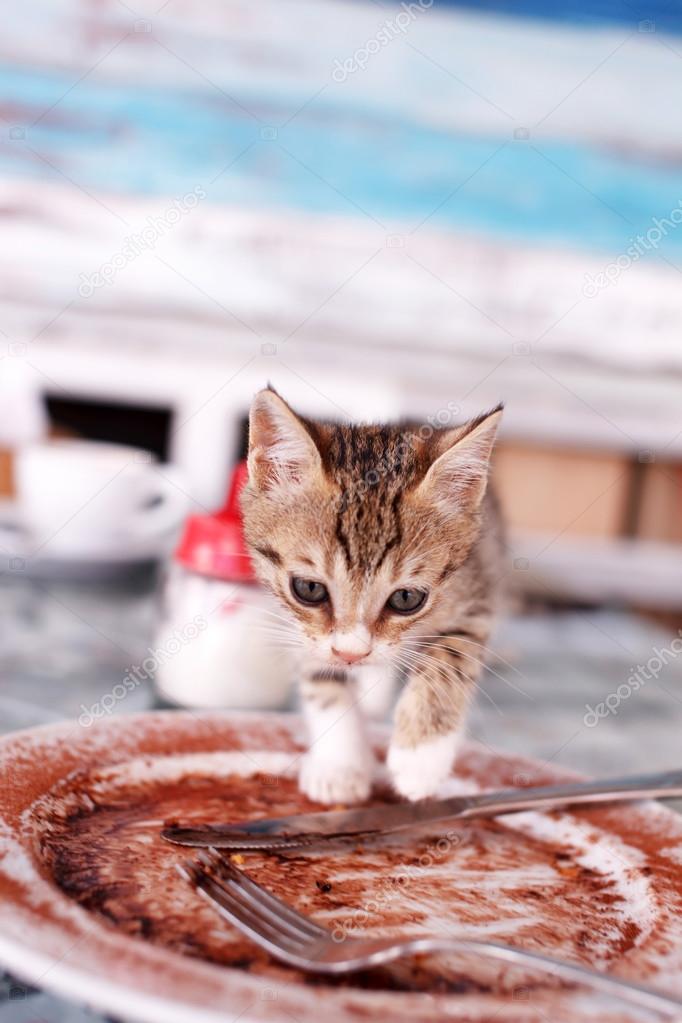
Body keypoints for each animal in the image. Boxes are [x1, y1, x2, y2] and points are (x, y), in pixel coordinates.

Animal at [242, 386, 505, 802]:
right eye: (309, 589)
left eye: (406, 599)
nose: (352, 654)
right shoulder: (301, 628)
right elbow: (321, 678)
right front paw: (340, 764)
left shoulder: (478, 590)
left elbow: (452, 657)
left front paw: (420, 757)